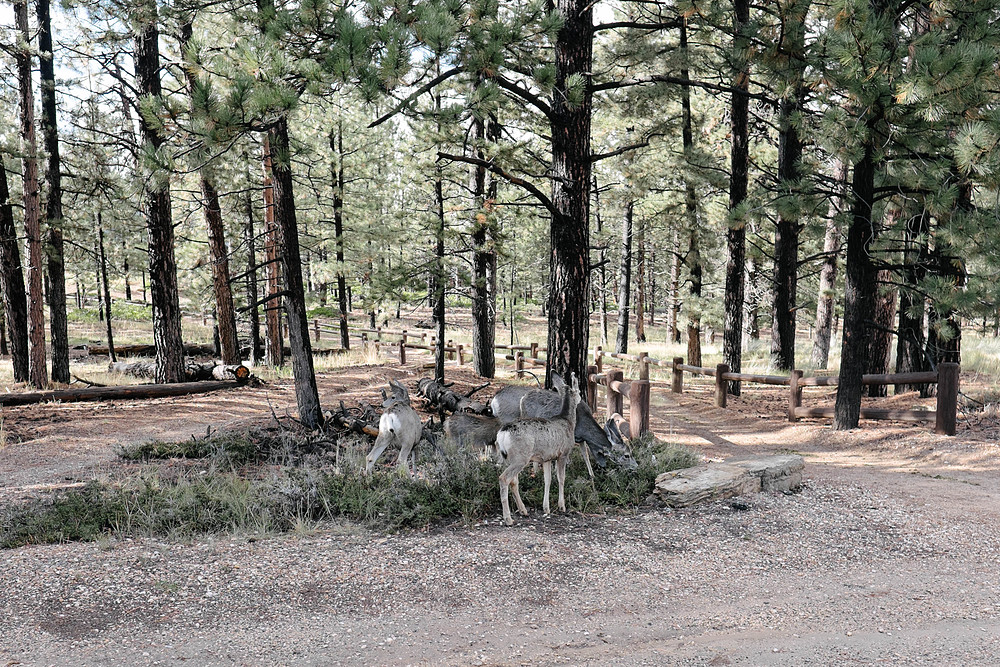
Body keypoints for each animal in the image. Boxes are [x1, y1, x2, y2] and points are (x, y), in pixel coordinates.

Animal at [496, 376, 584, 528]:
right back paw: (508, 519)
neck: (568, 422)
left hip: (508, 457)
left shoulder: (547, 457)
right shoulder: (563, 453)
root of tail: (502, 433)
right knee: (504, 478)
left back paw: (523, 510)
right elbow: (561, 478)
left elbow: (547, 480)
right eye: (578, 390)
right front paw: (562, 506)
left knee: (514, 481)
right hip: (520, 457)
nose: (581, 399)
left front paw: (546, 508)